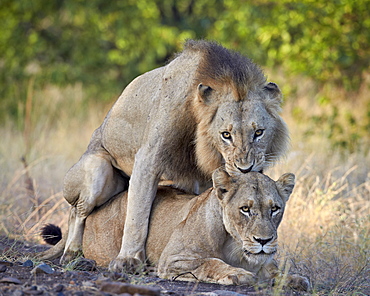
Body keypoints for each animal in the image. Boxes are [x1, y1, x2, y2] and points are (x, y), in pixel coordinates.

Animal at [58, 40, 290, 272]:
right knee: (76, 212)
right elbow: (137, 214)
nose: (245, 169)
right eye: (226, 135)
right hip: (96, 168)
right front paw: (128, 260)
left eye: (258, 132)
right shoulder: (147, 159)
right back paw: (73, 254)